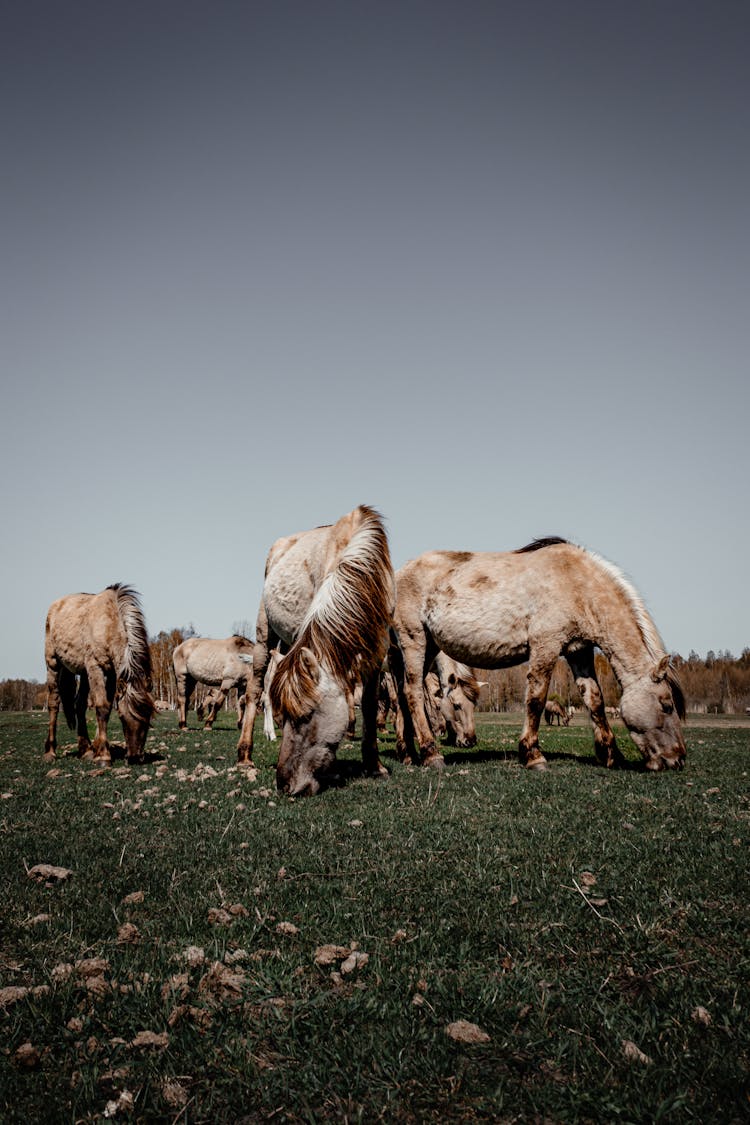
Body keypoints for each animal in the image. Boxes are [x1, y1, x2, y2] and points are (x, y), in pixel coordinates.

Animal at [43, 580, 154, 765]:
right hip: (53, 664)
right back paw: (50, 752)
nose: (135, 757)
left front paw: (97, 748)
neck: (109, 623)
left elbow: (106, 709)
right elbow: (101, 706)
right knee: (53, 704)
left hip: (83, 673)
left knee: (79, 705)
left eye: (148, 719)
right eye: (122, 716)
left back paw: (85, 750)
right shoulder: (96, 667)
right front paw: (103, 755)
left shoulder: (112, 674)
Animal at [237, 506, 395, 796]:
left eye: (307, 715)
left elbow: (368, 705)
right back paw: (244, 755)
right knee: (254, 691)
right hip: (264, 636)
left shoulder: (376, 653)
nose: (284, 784)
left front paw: (374, 766)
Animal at [391, 537, 688, 774]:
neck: (578, 584)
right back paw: (431, 753)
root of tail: (398, 573)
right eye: (667, 705)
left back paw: (408, 753)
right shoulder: (546, 645)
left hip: (428, 647)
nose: (678, 759)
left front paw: (611, 755)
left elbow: (594, 700)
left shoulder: (579, 651)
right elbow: (536, 699)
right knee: (414, 693)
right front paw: (533, 755)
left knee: (404, 694)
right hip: (414, 639)